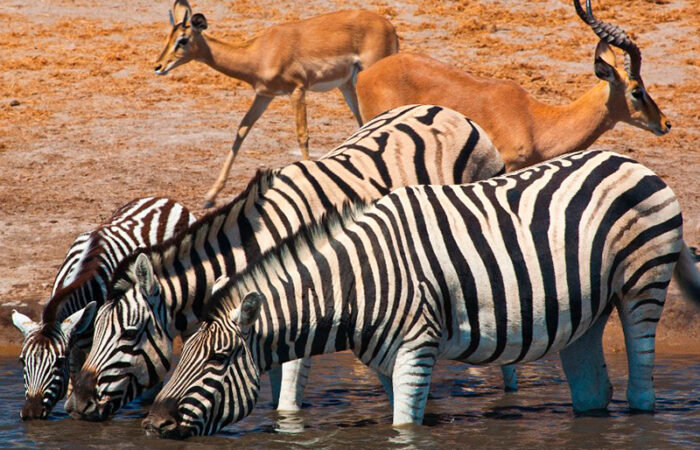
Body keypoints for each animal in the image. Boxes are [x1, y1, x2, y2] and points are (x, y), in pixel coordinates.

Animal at [65, 105, 512, 422]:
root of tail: (451, 111)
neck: (258, 242)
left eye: (130, 333)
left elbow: (287, 402)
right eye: (95, 331)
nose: (76, 406)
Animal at [139, 149, 696, 438]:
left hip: (643, 284)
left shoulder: (417, 347)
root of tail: (630, 160)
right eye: (179, 352)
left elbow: (405, 428)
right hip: (585, 312)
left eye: (219, 359)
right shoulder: (390, 360)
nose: (153, 422)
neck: (355, 284)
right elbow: (407, 419)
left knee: (641, 388)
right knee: (593, 390)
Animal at [156, 0, 400, 207]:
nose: (158, 66)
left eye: (183, 39)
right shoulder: (264, 95)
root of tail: (389, 26)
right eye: (168, 37)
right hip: (347, 84)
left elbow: (302, 135)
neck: (259, 53)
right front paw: (210, 196)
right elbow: (242, 130)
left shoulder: (297, 90)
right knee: (363, 122)